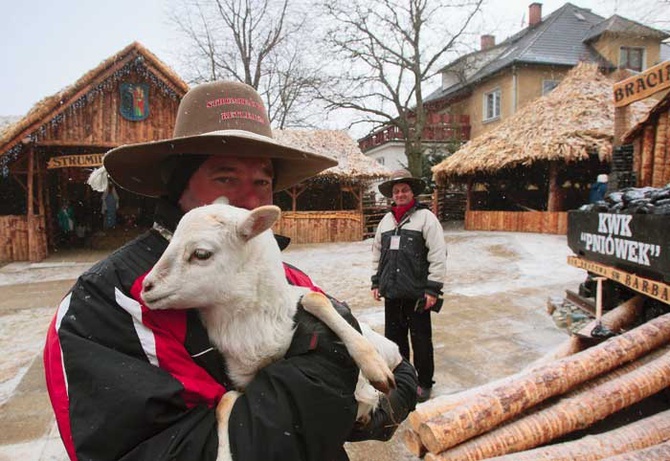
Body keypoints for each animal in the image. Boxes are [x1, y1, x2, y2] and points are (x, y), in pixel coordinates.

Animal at [142, 199, 402, 460]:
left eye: (201, 254)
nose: (145, 287)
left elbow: (315, 298)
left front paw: (375, 368)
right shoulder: (243, 381)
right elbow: (225, 403)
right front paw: (224, 454)